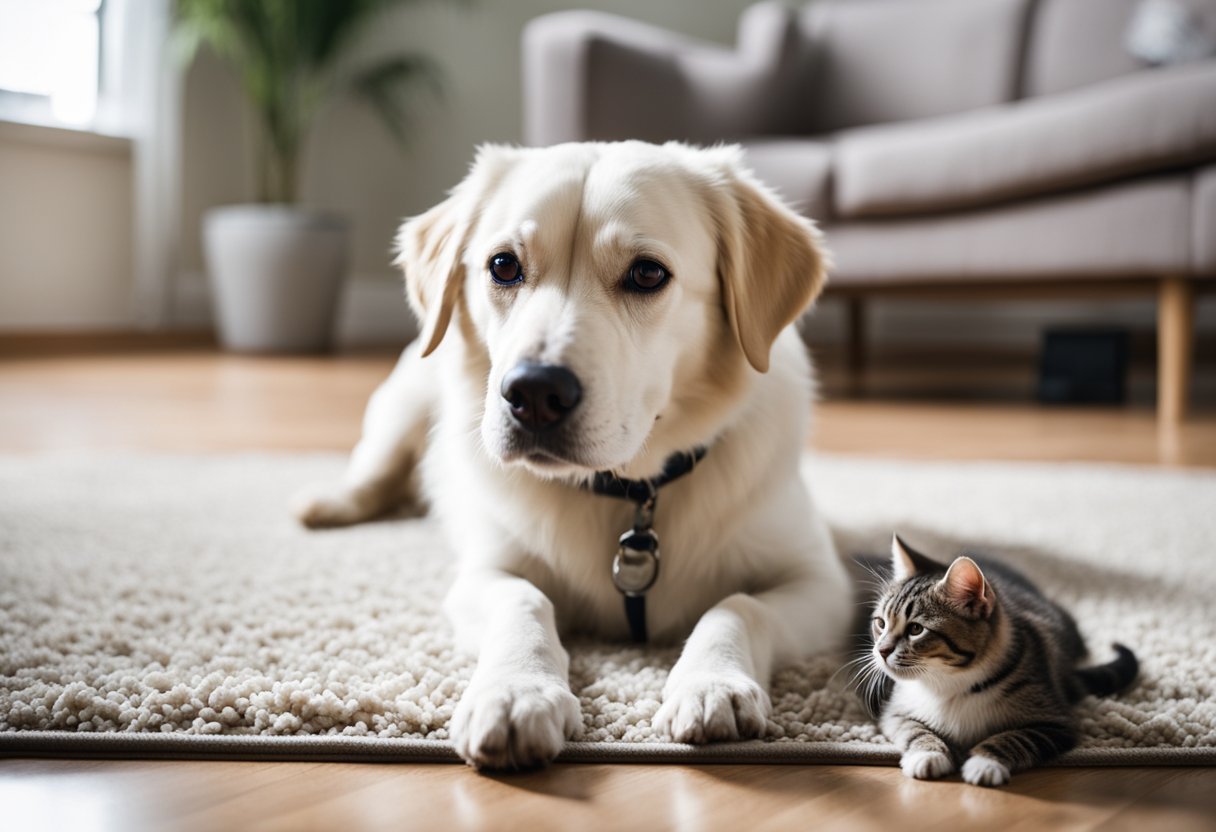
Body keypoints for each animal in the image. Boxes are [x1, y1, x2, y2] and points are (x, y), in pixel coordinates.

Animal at [296, 141, 846, 768]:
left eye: (647, 273)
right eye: (503, 266)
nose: (534, 393)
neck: (627, 491)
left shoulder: (820, 582)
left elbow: (737, 606)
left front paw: (712, 681)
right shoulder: (483, 573)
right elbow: (523, 601)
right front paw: (515, 691)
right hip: (401, 402)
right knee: (374, 471)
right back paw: (329, 504)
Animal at [856, 535, 1138, 783]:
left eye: (916, 629)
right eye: (880, 623)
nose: (881, 650)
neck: (949, 682)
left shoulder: (1056, 724)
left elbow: (1015, 738)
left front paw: (985, 762)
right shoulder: (895, 712)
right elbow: (913, 729)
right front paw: (928, 753)